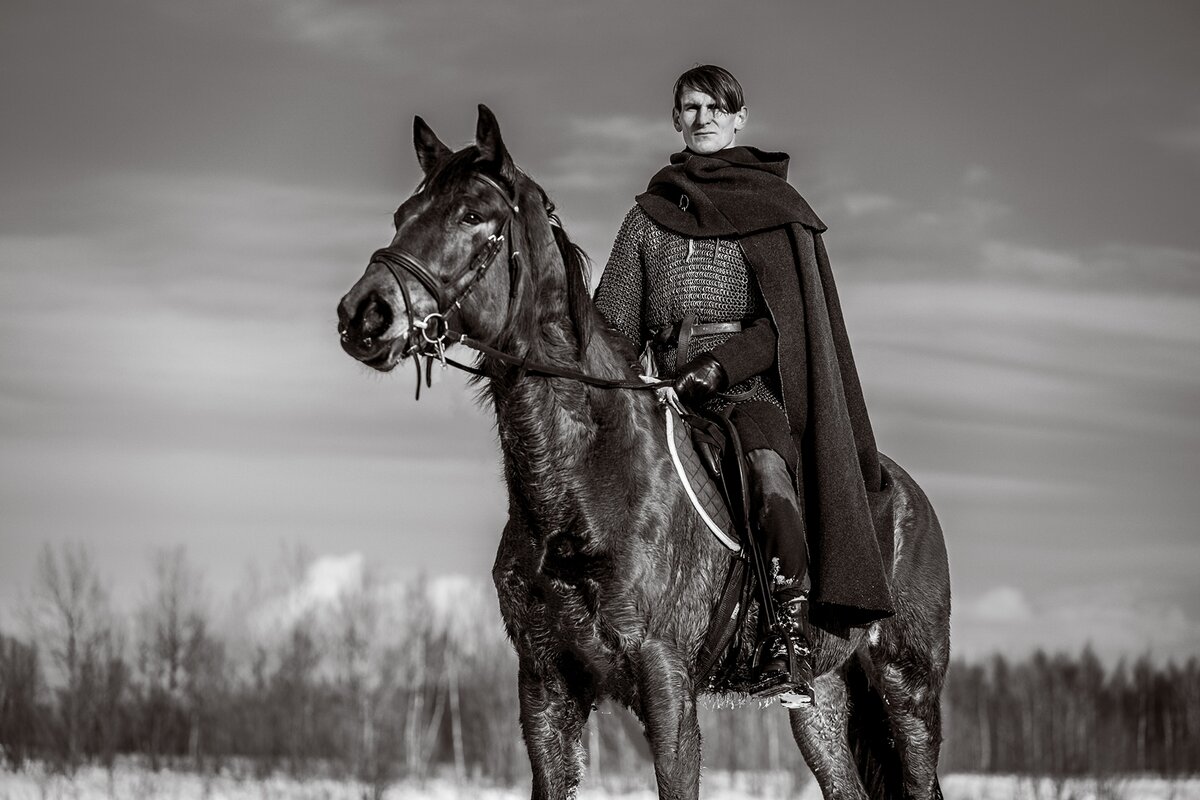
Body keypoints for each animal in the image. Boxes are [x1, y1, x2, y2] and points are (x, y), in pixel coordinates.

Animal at [336, 106, 945, 800]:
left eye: (471, 214)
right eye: (402, 214)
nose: (363, 316)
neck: (578, 489)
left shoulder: (667, 686)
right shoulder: (545, 687)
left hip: (908, 692)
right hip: (821, 696)